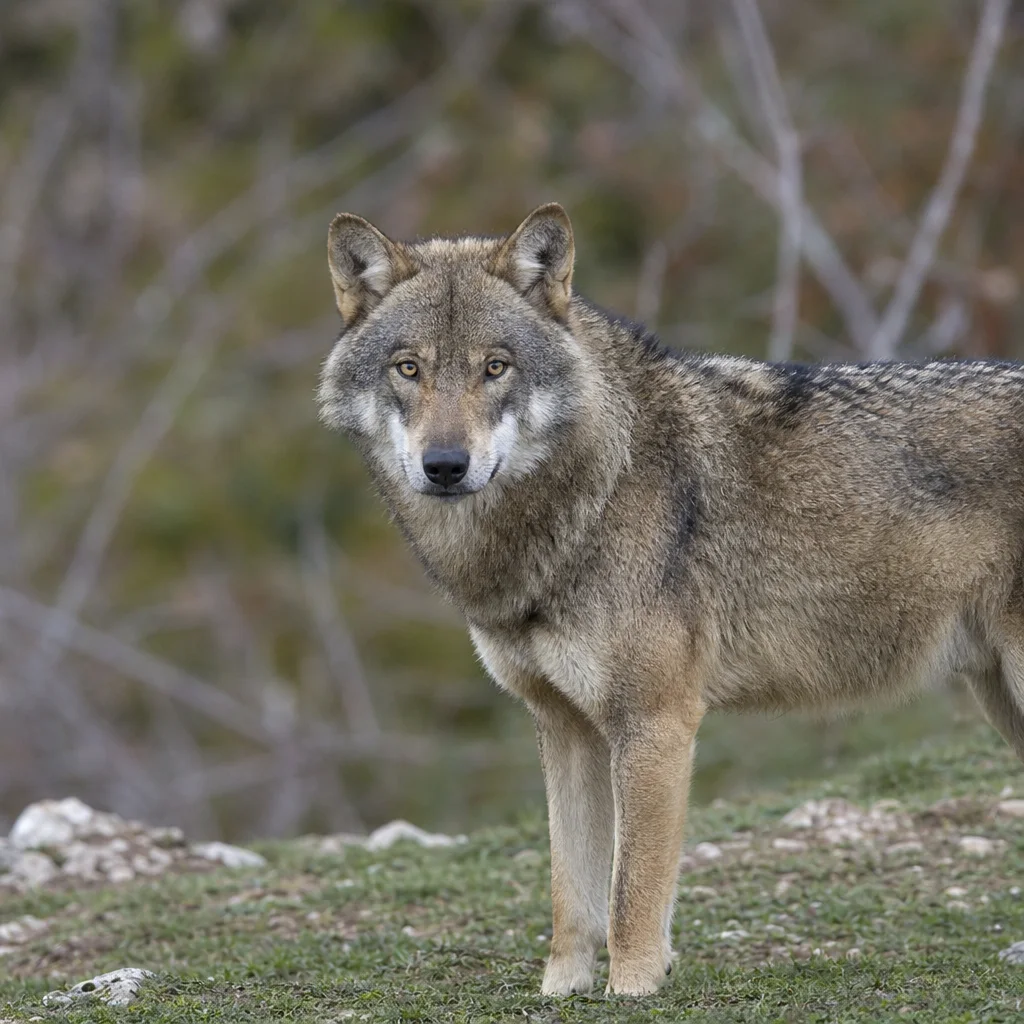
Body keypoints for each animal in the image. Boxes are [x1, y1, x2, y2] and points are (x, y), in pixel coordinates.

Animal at [317, 203, 1024, 997]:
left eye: (495, 367)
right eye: (408, 368)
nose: (444, 465)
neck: (590, 495)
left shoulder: (656, 723)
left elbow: (633, 890)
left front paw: (631, 988)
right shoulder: (564, 726)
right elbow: (571, 893)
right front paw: (561, 990)